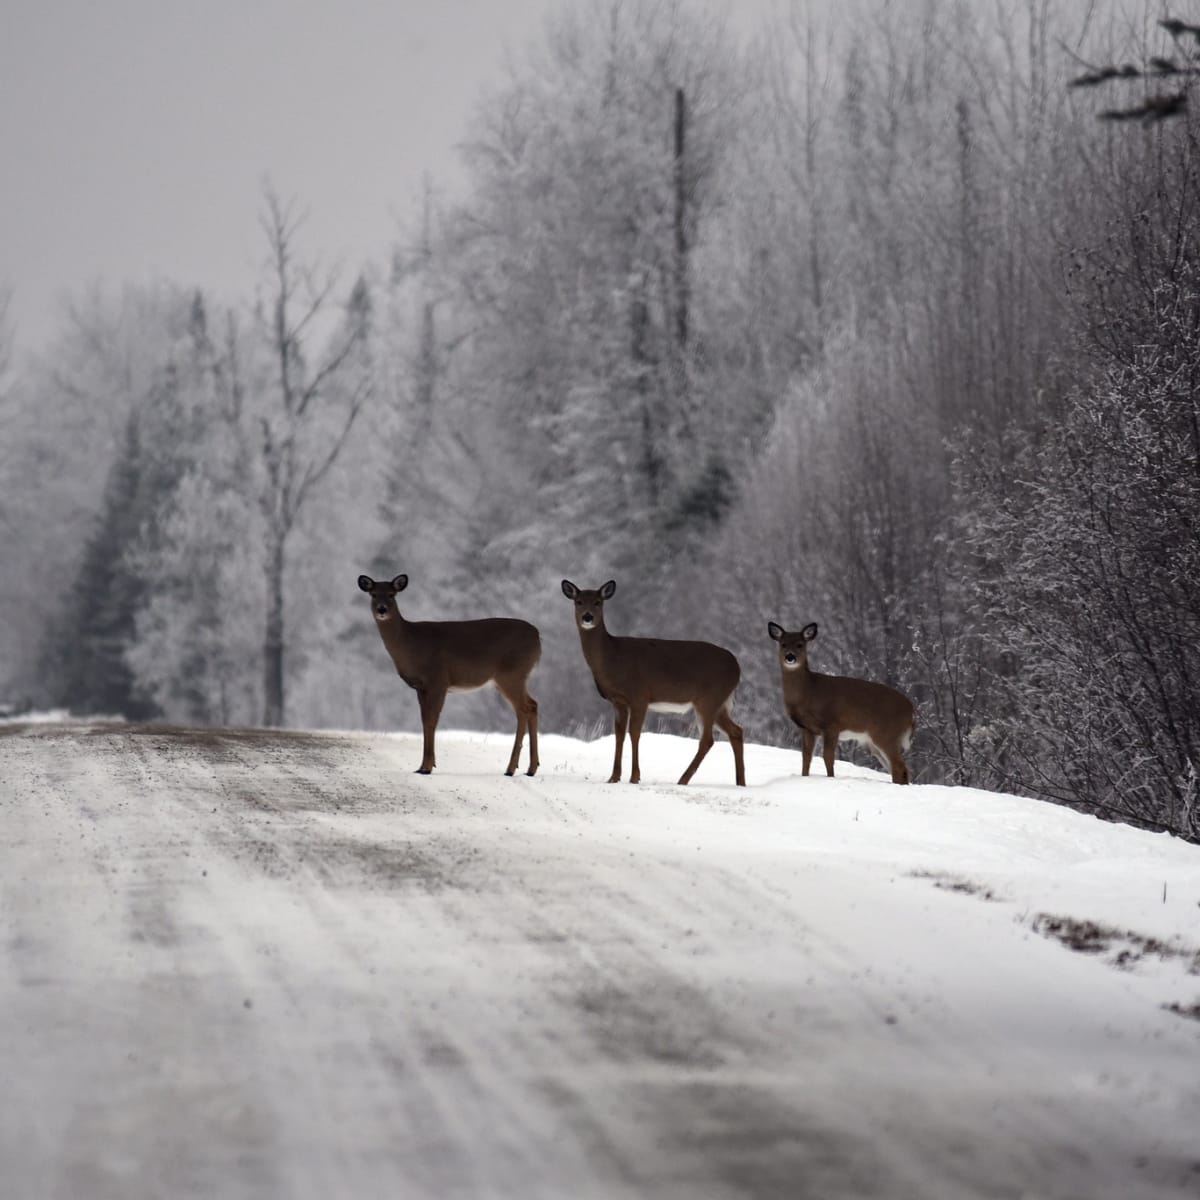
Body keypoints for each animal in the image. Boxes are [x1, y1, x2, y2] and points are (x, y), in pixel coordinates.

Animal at [357, 573, 542, 777]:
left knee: (524, 709)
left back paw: (511, 768)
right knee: (532, 705)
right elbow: (424, 720)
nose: (382, 609)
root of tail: (537, 636)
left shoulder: (438, 679)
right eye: (373, 594)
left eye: (392, 594)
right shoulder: (421, 687)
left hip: (511, 674)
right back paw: (530, 768)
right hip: (514, 677)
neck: (410, 642)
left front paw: (427, 767)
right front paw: (423, 765)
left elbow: (431, 720)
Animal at [559, 578, 744, 787]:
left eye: (598, 602)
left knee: (708, 739)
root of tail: (736, 665)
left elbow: (634, 733)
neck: (612, 657)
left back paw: (683, 779)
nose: (588, 617)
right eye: (579, 602)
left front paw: (634, 777)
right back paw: (740, 782)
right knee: (736, 731)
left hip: (709, 698)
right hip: (719, 702)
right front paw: (613, 777)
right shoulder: (618, 700)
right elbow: (619, 734)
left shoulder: (640, 695)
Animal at [763, 624, 912, 782]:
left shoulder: (832, 724)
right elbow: (806, 757)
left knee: (899, 767)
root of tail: (912, 711)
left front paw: (830, 778)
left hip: (887, 733)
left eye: (800, 644)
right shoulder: (808, 728)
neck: (809, 692)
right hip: (874, 742)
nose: (790, 657)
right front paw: (805, 777)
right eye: (783, 644)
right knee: (898, 769)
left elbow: (827, 757)